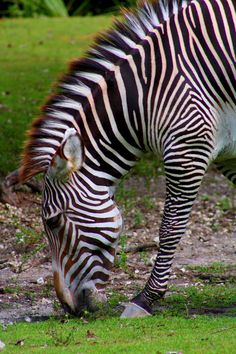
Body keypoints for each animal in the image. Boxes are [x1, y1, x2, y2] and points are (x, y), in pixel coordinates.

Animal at [10, 0, 236, 318]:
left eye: (52, 222)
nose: (69, 308)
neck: (146, 94)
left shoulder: (187, 148)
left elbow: (170, 227)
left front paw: (145, 299)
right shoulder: (227, 152)